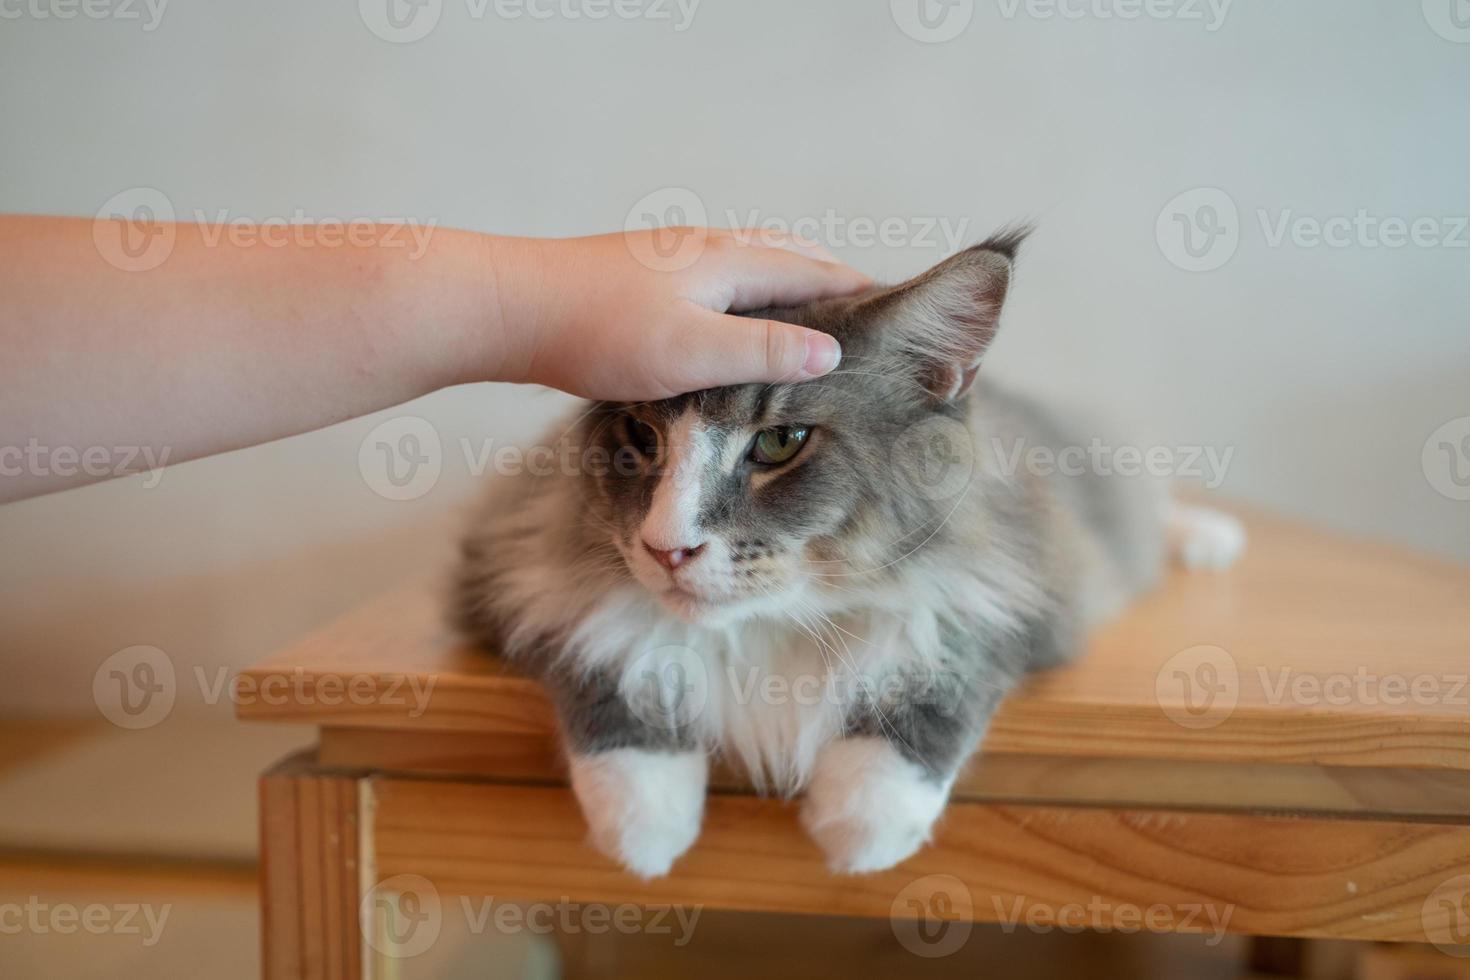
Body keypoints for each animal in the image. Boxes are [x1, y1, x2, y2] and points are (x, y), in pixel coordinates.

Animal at [449, 232, 1240, 881]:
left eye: (779, 442)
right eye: (641, 435)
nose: (666, 547)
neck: (772, 630)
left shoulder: (1022, 588)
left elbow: (929, 676)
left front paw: (861, 826)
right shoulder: (516, 567)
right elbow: (616, 668)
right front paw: (645, 827)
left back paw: (1213, 538)